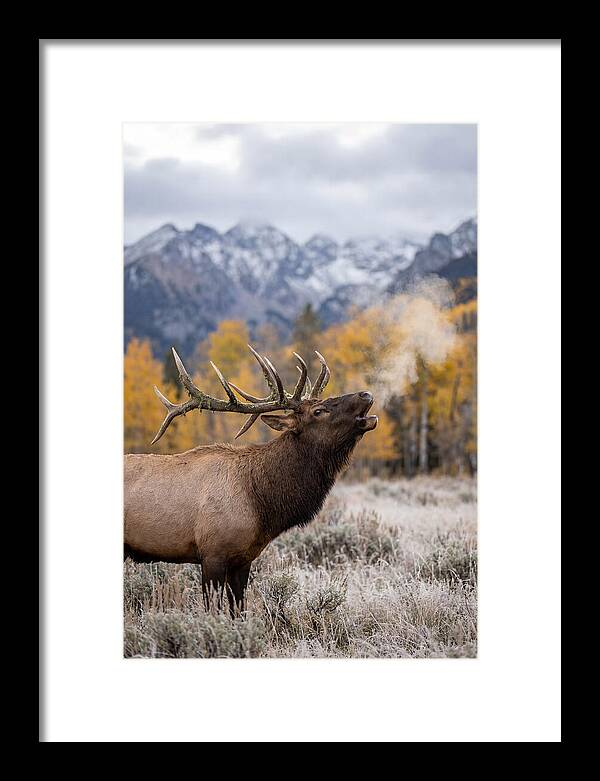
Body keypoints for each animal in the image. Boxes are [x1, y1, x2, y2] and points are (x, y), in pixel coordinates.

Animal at [124, 344, 378, 615]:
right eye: (318, 411)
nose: (365, 394)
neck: (261, 504)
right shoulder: (212, 554)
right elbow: (213, 611)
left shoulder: (243, 560)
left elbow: (239, 610)